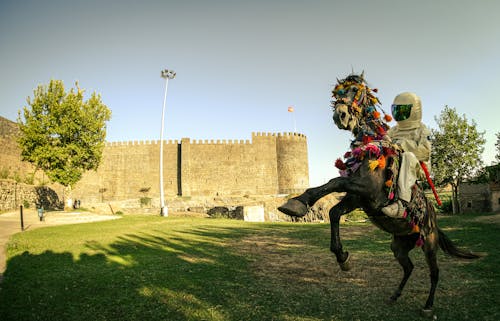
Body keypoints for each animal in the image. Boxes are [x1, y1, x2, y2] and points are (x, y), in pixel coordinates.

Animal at [280, 73, 482, 316]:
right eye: (336, 94)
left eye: (355, 90)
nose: (340, 115)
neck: (370, 149)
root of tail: (433, 218)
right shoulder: (359, 198)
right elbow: (334, 210)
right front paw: (341, 256)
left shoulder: (368, 190)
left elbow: (336, 182)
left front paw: (299, 203)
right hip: (399, 245)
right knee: (409, 267)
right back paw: (395, 295)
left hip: (429, 244)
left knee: (434, 272)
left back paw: (428, 305)